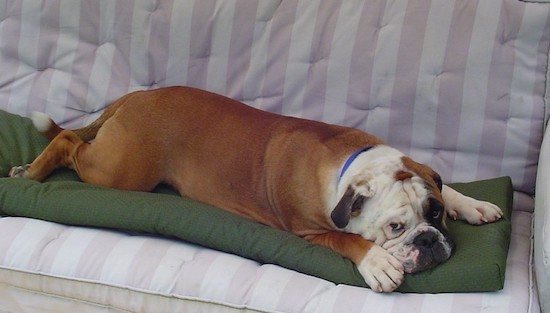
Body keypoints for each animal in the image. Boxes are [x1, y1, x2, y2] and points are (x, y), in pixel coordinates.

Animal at [9, 84, 504, 290]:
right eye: (396, 229)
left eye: (433, 213)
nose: (428, 239)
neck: (352, 165)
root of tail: (137, 95)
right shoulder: (310, 230)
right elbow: (347, 239)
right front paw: (378, 263)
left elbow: (446, 184)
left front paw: (471, 204)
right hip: (120, 172)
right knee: (68, 141)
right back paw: (31, 172)